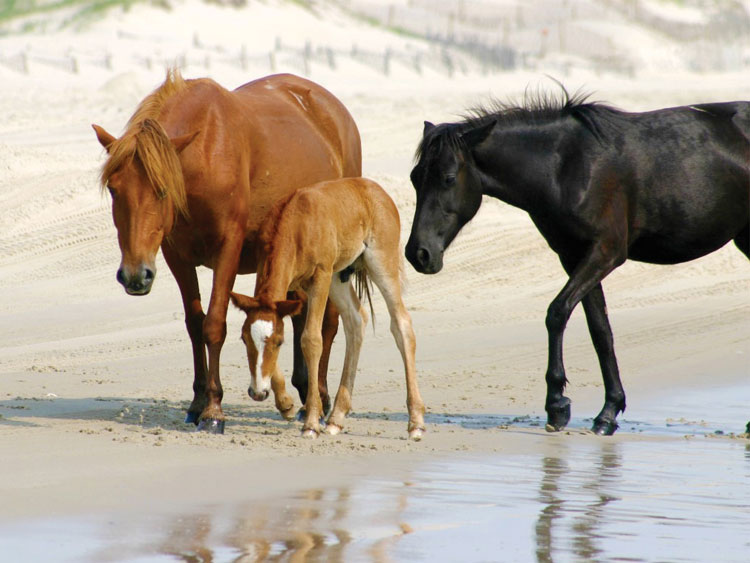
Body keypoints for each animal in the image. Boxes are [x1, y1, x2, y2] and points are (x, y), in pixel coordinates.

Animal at [92, 69, 362, 432]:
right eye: (114, 189)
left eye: (162, 191)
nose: (135, 276)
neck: (205, 156)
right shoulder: (176, 257)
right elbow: (195, 325)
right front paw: (196, 403)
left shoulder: (228, 252)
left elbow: (214, 325)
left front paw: (213, 410)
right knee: (298, 314)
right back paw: (304, 391)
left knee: (328, 324)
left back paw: (318, 398)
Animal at [229, 178, 428, 438]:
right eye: (244, 340)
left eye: (279, 343)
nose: (257, 392)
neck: (296, 223)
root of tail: (375, 190)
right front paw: (285, 403)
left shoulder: (320, 277)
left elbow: (311, 340)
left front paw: (311, 422)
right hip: (337, 277)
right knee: (356, 320)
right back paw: (337, 417)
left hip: (379, 263)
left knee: (401, 324)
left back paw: (416, 422)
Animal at [408, 91, 748, 436]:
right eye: (414, 178)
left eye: (449, 178)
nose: (417, 253)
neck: (566, 166)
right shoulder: (573, 257)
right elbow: (600, 330)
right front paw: (608, 411)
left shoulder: (605, 252)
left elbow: (557, 313)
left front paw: (557, 404)